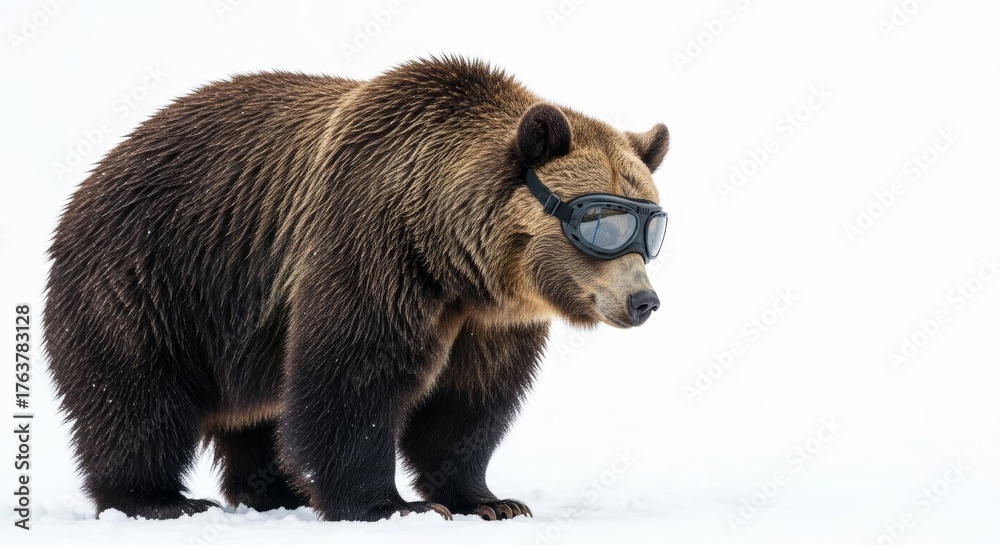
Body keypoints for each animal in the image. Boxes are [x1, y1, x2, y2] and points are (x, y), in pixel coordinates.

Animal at [43, 56, 669, 522]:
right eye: (603, 221)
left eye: (654, 227)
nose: (643, 300)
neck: (452, 255)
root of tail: (95, 174)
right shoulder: (373, 249)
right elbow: (354, 378)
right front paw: (390, 505)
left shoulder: (488, 318)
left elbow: (469, 403)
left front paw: (492, 501)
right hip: (151, 276)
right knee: (137, 397)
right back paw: (158, 499)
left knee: (258, 410)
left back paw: (276, 491)